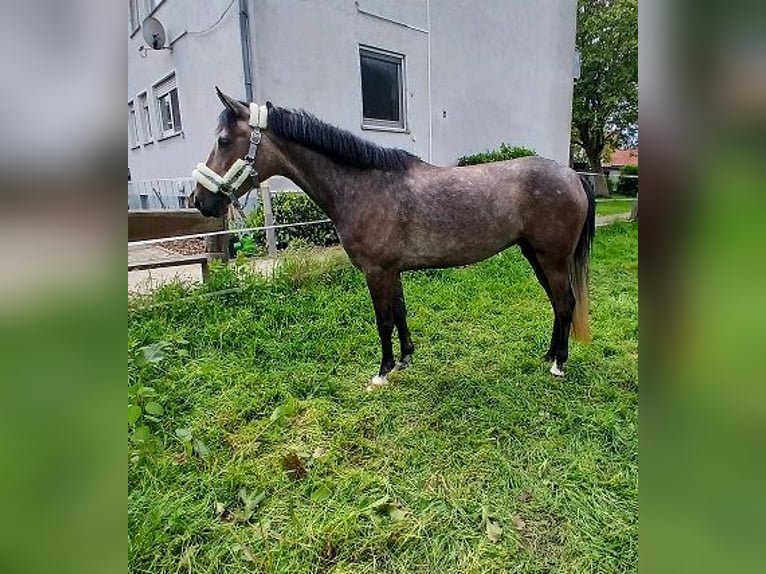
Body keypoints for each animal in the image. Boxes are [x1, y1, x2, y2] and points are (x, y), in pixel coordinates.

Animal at [191, 88, 595, 389]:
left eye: (224, 141)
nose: (198, 200)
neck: (363, 185)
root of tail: (573, 176)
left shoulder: (376, 271)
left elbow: (383, 320)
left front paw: (382, 372)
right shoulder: (392, 271)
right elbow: (400, 313)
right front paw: (404, 359)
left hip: (552, 259)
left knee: (564, 303)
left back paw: (558, 364)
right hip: (535, 256)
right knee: (558, 305)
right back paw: (549, 355)